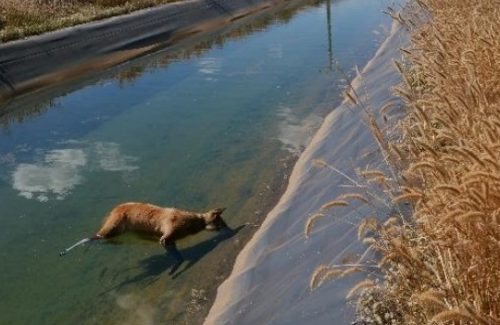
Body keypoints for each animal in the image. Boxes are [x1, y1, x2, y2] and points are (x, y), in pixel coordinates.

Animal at [59, 202, 229, 264]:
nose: (229, 229)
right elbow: (167, 244)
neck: (192, 222)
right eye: (220, 223)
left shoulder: (171, 237)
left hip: (118, 234)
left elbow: (170, 245)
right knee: (95, 236)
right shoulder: (170, 231)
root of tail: (115, 210)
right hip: (114, 228)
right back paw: (69, 249)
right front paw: (178, 261)